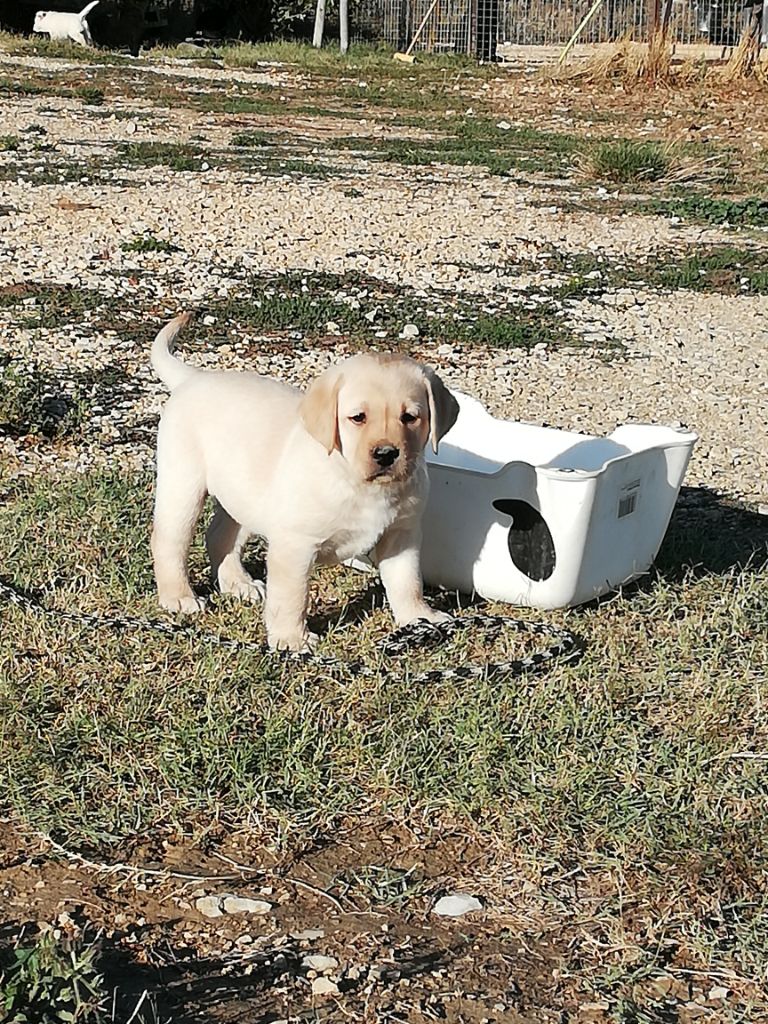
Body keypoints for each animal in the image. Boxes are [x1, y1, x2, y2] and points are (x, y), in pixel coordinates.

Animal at [153, 311, 460, 651]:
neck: (356, 482)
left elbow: (408, 582)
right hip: (183, 484)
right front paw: (292, 639)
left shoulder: (402, 534)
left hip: (243, 495)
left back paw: (240, 584)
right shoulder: (295, 543)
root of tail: (193, 379)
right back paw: (179, 597)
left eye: (410, 417)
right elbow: (292, 595)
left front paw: (421, 617)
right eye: (358, 417)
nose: (386, 454)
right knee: (169, 541)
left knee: (220, 534)